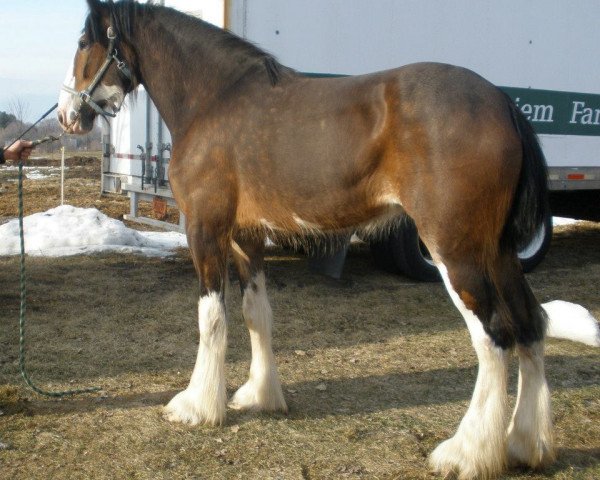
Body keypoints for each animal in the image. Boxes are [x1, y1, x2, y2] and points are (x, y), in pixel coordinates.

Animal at [58, 1, 556, 478]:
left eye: (83, 42)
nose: (66, 115)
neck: (214, 99)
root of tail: (501, 102)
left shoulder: (206, 230)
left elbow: (212, 318)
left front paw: (197, 406)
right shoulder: (247, 236)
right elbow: (256, 314)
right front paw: (260, 395)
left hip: (455, 251)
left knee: (493, 338)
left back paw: (466, 453)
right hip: (498, 252)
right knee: (530, 325)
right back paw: (525, 444)